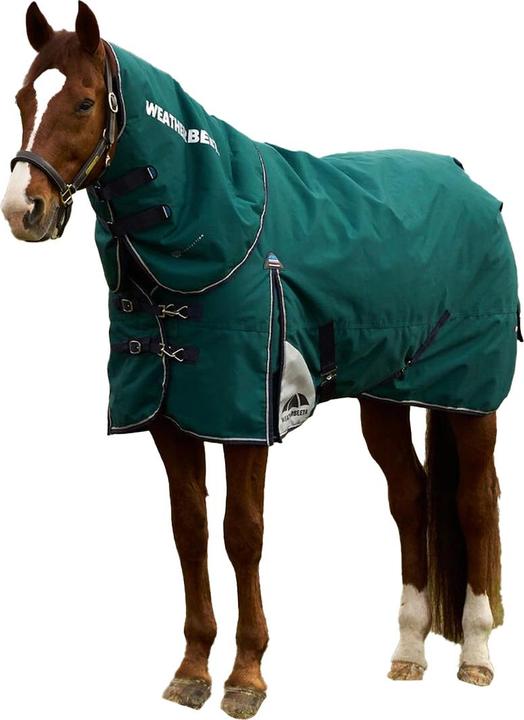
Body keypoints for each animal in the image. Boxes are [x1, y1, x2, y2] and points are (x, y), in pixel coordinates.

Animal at [2, 3, 520, 717]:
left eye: (82, 102)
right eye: (23, 98)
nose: (23, 209)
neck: (216, 226)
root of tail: (472, 185)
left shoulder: (246, 418)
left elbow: (241, 533)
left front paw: (246, 676)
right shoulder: (171, 417)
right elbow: (189, 530)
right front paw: (192, 668)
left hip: (469, 400)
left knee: (474, 503)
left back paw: (474, 654)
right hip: (385, 397)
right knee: (410, 497)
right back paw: (409, 651)